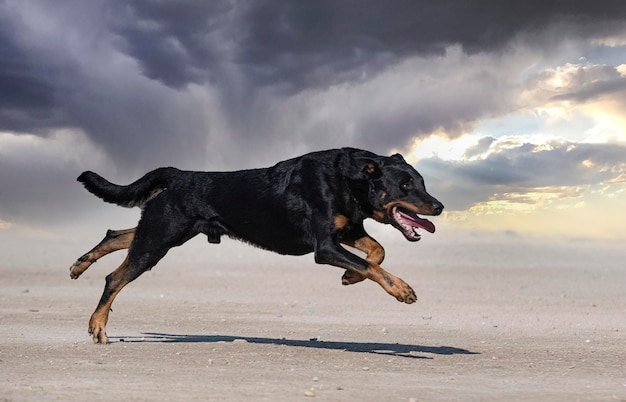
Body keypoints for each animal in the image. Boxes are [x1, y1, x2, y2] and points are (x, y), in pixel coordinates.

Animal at [69, 148, 444, 342]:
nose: (439, 206)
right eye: (405, 185)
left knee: (117, 235)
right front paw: (401, 289)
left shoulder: (346, 230)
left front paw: (351, 277)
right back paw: (97, 326)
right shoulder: (325, 246)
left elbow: (377, 253)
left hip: (168, 231)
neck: (350, 181)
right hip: (159, 238)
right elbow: (371, 262)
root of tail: (177, 174)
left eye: (422, 183)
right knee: (115, 278)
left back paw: (80, 264)